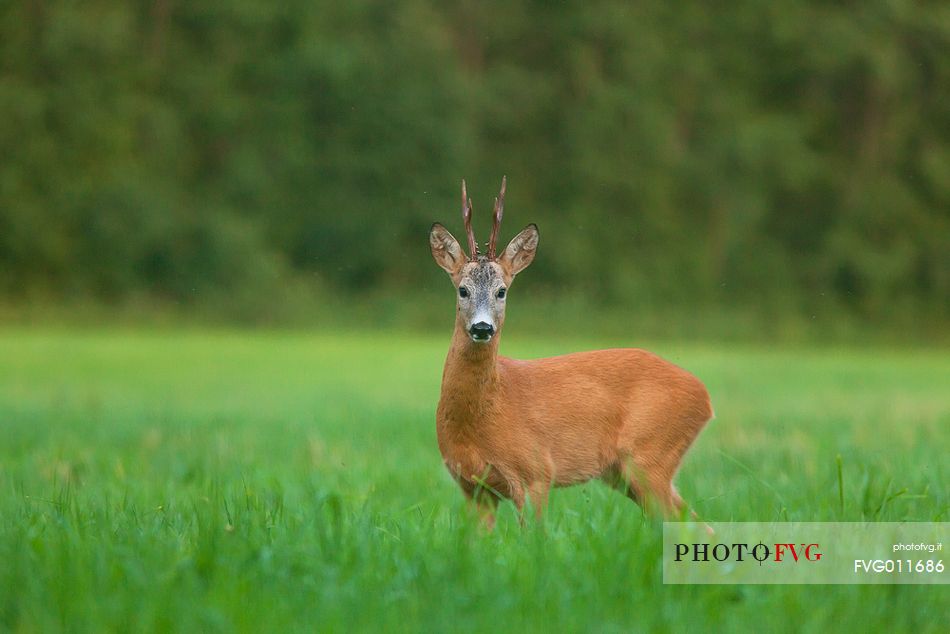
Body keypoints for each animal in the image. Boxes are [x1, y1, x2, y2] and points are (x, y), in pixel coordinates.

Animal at [432, 177, 712, 524]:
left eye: (502, 291)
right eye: (463, 290)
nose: (482, 328)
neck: (484, 415)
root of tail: (704, 396)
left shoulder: (536, 471)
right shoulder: (472, 487)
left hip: (650, 456)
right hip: (625, 473)